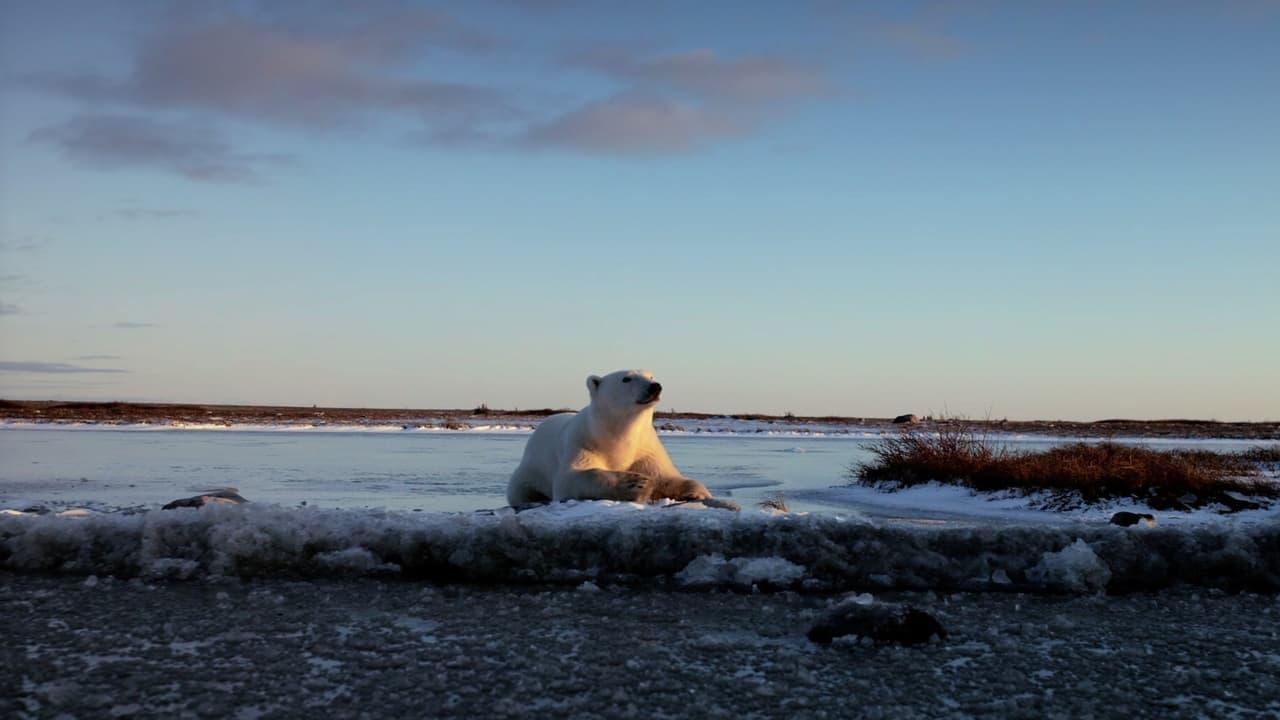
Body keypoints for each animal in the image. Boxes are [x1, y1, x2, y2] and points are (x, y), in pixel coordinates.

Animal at [506, 366, 732, 507]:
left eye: (651, 376)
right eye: (627, 378)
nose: (655, 386)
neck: (617, 435)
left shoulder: (645, 449)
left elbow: (666, 476)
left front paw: (696, 492)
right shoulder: (583, 442)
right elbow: (572, 477)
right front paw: (635, 484)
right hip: (529, 469)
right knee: (519, 490)